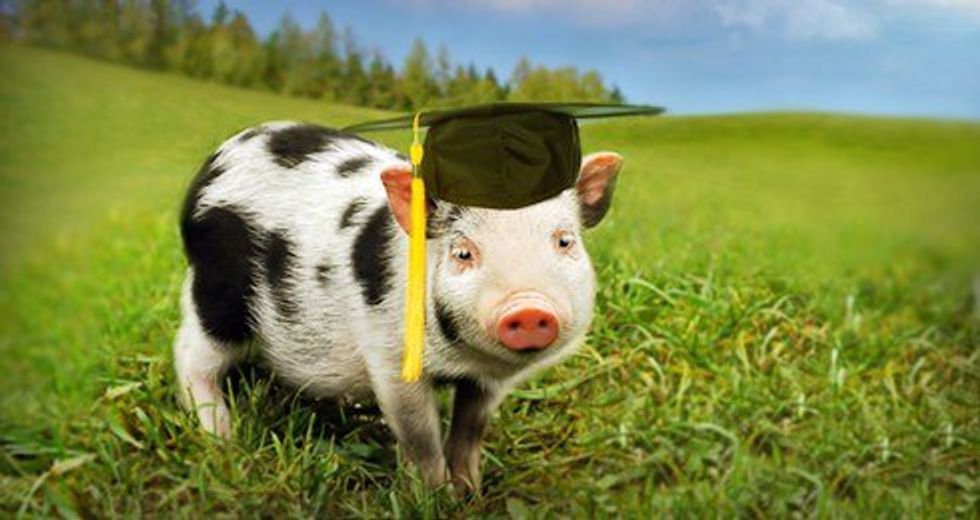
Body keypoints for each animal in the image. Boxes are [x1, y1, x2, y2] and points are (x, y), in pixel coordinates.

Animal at [173, 121, 623, 489]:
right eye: (463, 252)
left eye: (564, 240)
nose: (529, 308)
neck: (464, 359)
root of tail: (214, 164)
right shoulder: (390, 357)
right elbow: (420, 436)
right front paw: (434, 497)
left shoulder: (487, 382)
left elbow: (472, 427)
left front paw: (470, 492)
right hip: (217, 293)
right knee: (191, 354)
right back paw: (224, 444)